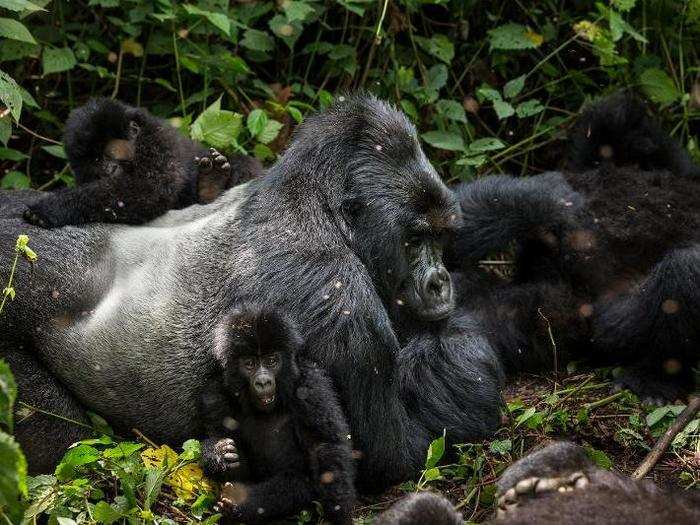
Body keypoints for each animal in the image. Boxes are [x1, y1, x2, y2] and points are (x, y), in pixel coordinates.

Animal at [23, 98, 262, 227]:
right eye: (94, 160)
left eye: (108, 154)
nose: (108, 169)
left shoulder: (157, 142)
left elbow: (148, 188)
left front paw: (50, 208)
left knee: (246, 166)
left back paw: (211, 185)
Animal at [201, 302, 356, 524]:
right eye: (249, 364)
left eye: (272, 360)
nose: (263, 381)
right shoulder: (216, 392)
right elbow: (219, 438)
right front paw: (219, 454)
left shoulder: (310, 384)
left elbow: (324, 447)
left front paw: (337, 511)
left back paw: (242, 503)